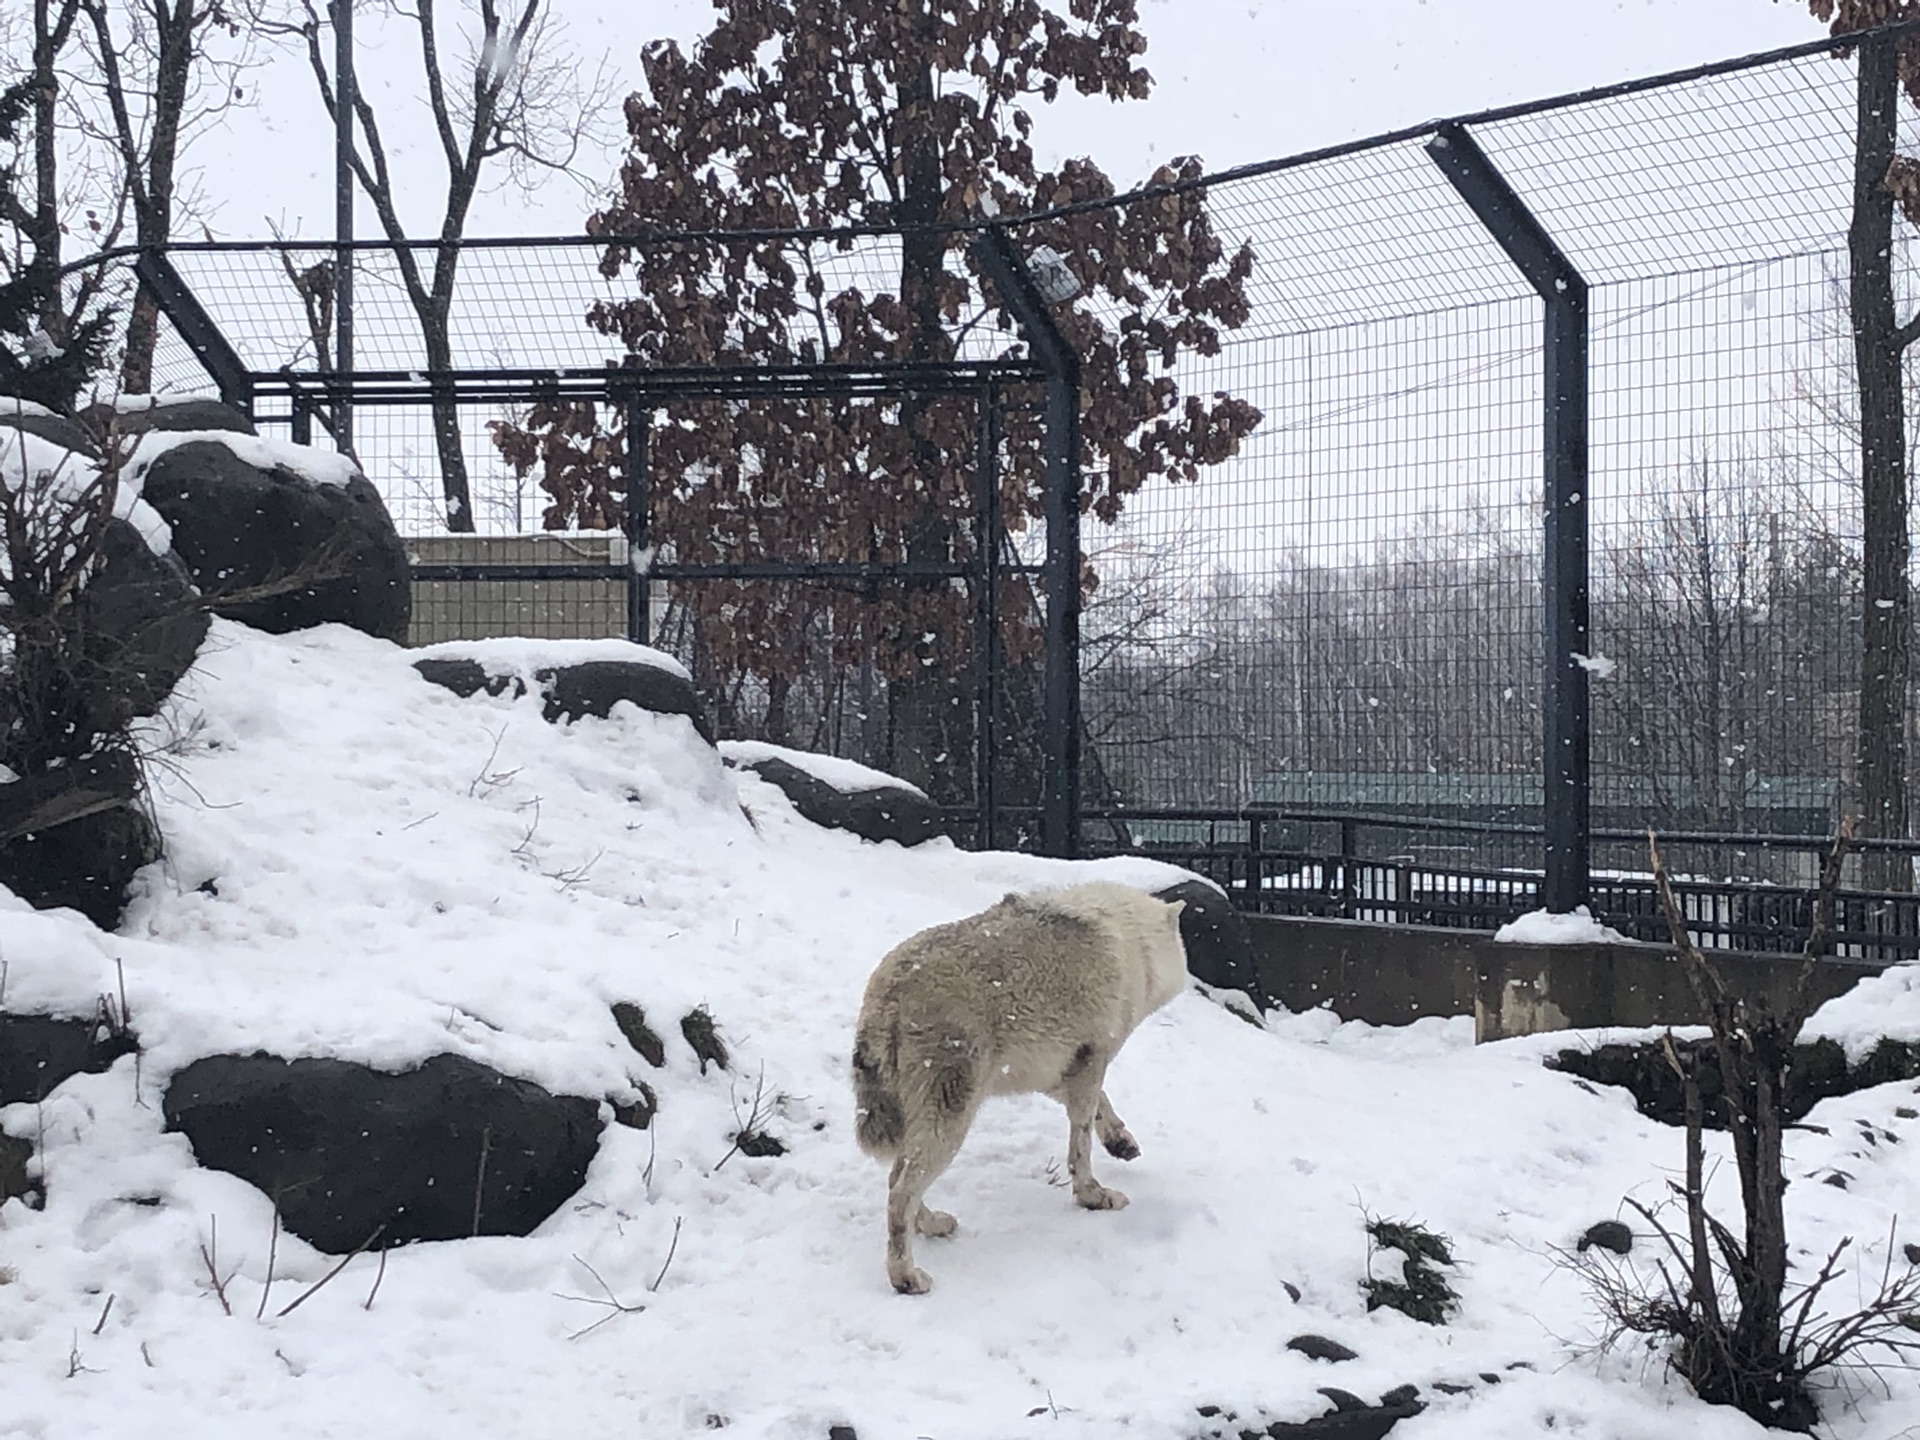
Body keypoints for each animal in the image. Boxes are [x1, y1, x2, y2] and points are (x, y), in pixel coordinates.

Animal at [852, 879, 1182, 1297]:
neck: (1134, 943)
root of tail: (888, 994)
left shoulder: (1052, 1071)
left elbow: (1101, 1109)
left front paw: (1122, 1142)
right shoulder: (1091, 1059)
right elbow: (1081, 1139)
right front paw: (1094, 1196)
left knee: (896, 1177)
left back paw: (933, 1224)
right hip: (949, 1118)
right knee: (900, 1191)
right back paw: (906, 1277)